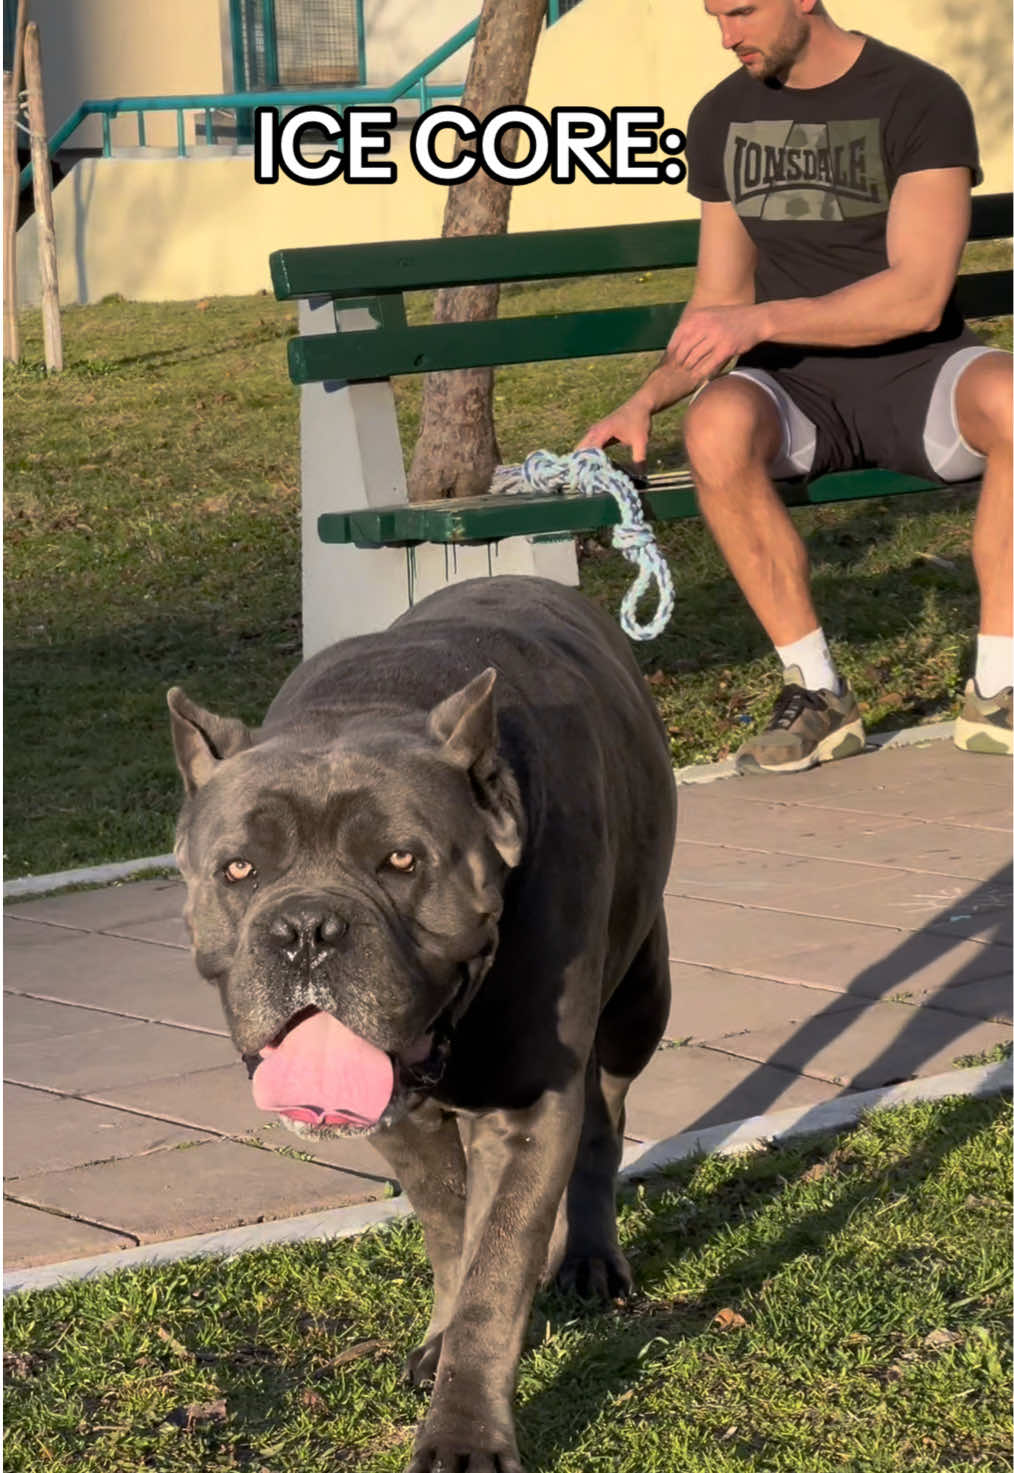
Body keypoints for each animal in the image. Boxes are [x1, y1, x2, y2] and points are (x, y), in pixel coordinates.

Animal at [168, 577, 672, 1473]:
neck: (368, 705)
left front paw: (464, 1435)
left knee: (605, 1122)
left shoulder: (531, 1104)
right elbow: (452, 1230)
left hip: (640, 999)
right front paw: (442, 1340)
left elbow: (495, 1270)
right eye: (238, 869)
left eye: (401, 861)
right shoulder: (402, 1122)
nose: (305, 929)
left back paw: (589, 1259)